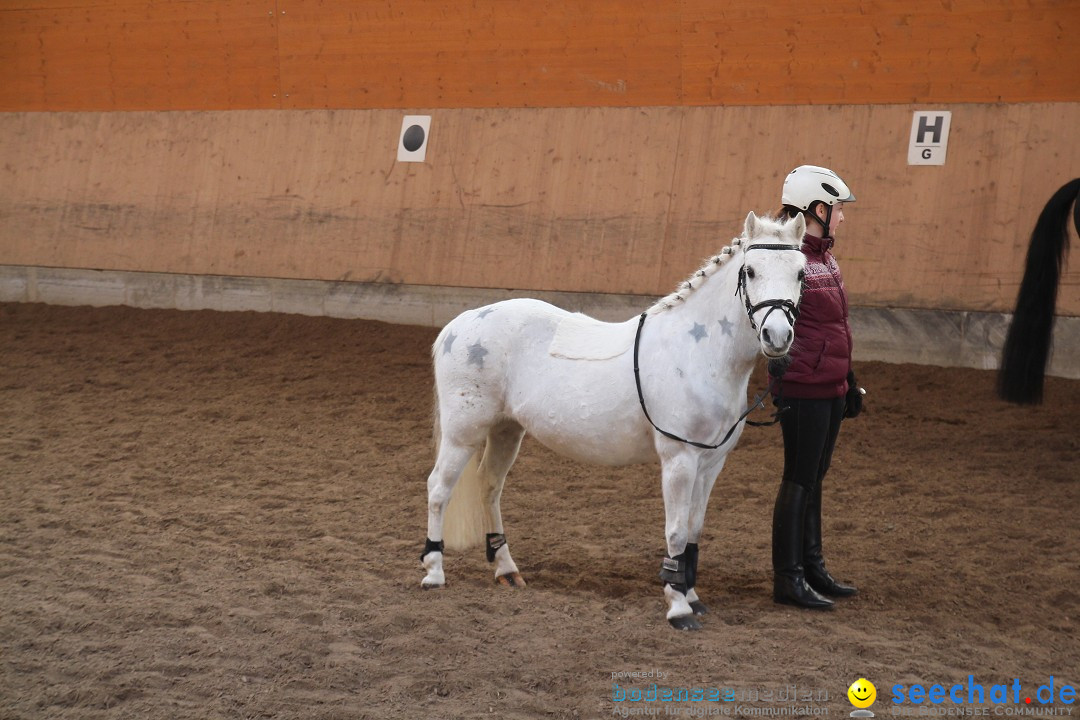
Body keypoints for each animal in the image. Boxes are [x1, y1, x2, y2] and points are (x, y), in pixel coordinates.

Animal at [416, 211, 807, 626]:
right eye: (750, 270)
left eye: (801, 273)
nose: (777, 335)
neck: (696, 352)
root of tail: (460, 323)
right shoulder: (679, 459)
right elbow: (675, 532)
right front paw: (679, 608)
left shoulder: (711, 463)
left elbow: (693, 529)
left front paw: (692, 595)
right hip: (463, 433)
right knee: (438, 489)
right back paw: (434, 571)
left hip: (507, 430)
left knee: (489, 486)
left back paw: (506, 569)